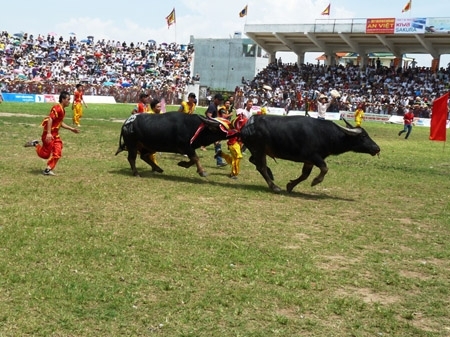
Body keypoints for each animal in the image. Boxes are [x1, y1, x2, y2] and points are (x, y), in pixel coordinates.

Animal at [239, 115, 380, 192]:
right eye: (363, 136)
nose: (377, 148)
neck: (326, 134)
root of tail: (246, 127)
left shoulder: (309, 161)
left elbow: (304, 175)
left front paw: (290, 185)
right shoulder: (314, 157)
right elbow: (324, 168)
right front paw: (316, 181)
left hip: (258, 151)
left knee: (255, 162)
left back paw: (271, 173)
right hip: (258, 149)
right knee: (261, 167)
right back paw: (274, 186)